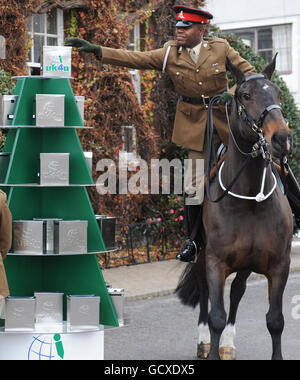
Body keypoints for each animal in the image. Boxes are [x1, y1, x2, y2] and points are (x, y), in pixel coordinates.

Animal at [176, 55, 292, 360]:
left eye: (278, 93)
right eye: (246, 95)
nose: (281, 139)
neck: (248, 199)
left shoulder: (280, 265)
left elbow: (275, 320)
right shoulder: (216, 262)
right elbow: (216, 314)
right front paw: (211, 346)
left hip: (246, 263)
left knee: (238, 291)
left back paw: (227, 342)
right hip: (202, 257)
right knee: (205, 292)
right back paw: (205, 341)